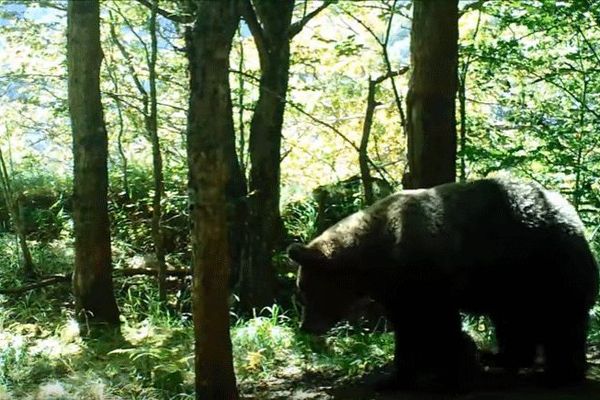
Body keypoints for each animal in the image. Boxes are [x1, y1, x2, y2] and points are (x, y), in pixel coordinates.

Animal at [288, 178, 596, 390]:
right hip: (511, 284)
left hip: (544, 268)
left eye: (304, 290)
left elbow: (433, 325)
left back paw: (561, 373)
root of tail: (573, 215)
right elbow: (411, 328)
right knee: (515, 321)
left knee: (560, 320)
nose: (306, 326)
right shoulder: (398, 290)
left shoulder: (426, 278)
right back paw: (502, 358)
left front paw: (446, 371)